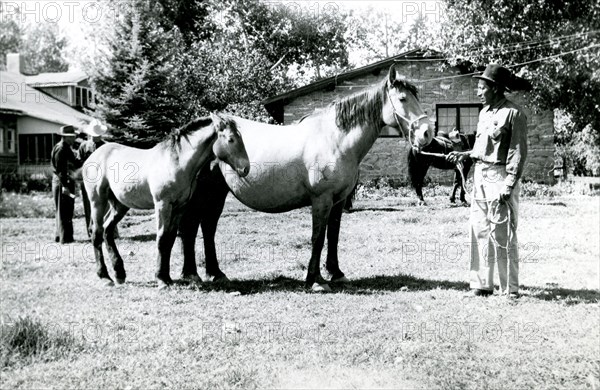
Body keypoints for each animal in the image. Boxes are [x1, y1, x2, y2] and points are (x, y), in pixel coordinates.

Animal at [82, 113, 248, 290]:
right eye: (231, 139)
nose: (246, 168)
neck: (176, 163)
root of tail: (93, 155)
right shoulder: (163, 204)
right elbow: (162, 238)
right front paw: (161, 279)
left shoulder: (180, 207)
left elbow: (170, 238)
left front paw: (167, 277)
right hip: (97, 200)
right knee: (97, 232)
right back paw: (105, 277)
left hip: (119, 205)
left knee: (107, 229)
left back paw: (119, 273)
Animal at [176, 64, 434, 290]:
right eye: (402, 99)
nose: (426, 133)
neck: (335, 140)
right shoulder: (321, 200)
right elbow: (317, 237)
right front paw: (315, 280)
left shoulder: (338, 201)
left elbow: (333, 236)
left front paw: (336, 273)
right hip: (204, 195)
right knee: (191, 227)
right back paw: (192, 274)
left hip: (215, 194)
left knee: (207, 227)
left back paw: (215, 273)